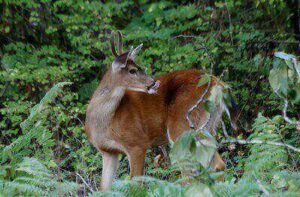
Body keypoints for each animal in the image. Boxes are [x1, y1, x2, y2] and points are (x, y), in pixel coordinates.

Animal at [84, 31, 234, 190]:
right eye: (132, 70)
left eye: (139, 67)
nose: (153, 83)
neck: (105, 123)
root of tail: (219, 84)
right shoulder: (108, 152)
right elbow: (104, 188)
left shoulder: (137, 143)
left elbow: (136, 184)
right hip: (207, 127)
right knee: (217, 165)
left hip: (182, 126)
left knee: (190, 173)